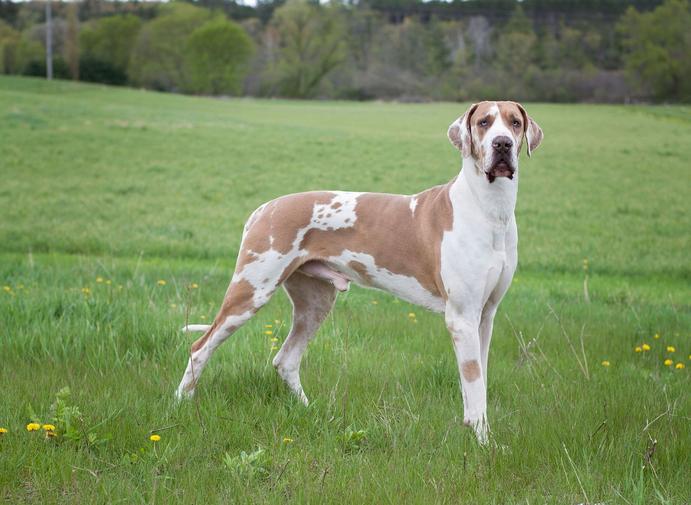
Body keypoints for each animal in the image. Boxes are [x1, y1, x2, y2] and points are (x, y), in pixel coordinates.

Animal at [178, 101, 548, 440]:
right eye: (484, 122)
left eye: (514, 123)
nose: (503, 144)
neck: (489, 209)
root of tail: (264, 208)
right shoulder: (461, 316)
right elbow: (474, 384)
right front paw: (483, 441)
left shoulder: (485, 315)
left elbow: (478, 381)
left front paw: (477, 433)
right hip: (251, 290)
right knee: (200, 348)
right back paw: (181, 405)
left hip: (315, 303)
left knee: (286, 360)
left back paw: (310, 410)